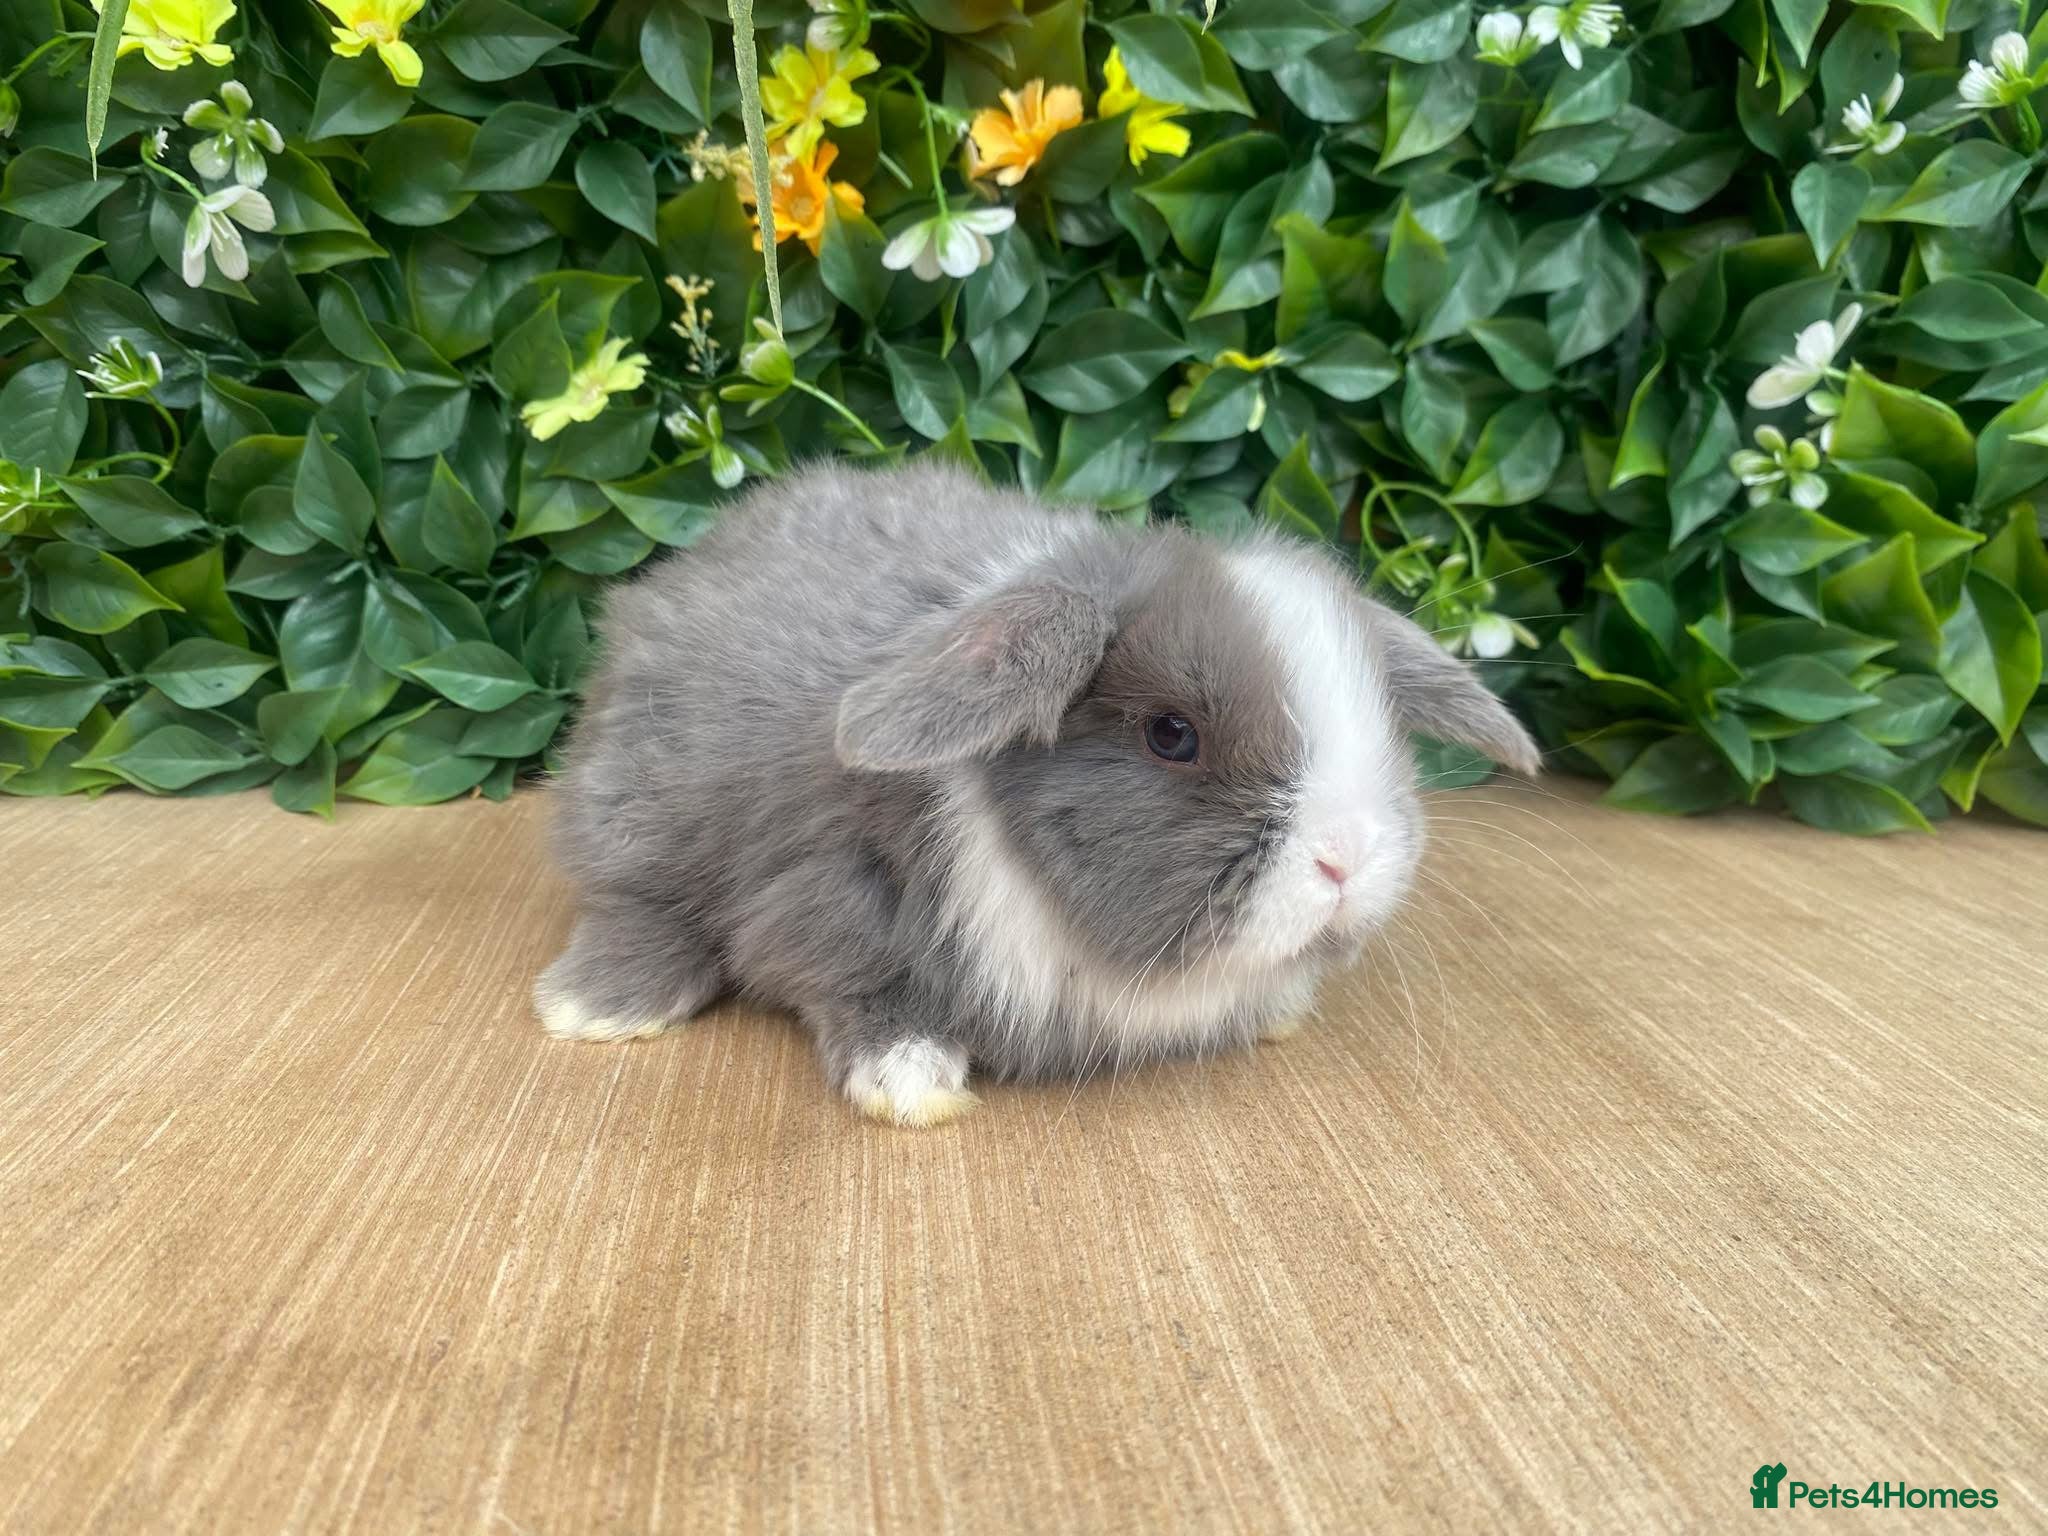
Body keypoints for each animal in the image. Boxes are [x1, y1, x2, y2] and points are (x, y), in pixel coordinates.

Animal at [535, 460, 1539, 1126]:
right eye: (1171, 734)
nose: (1348, 858)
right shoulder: (826, 897)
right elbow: (850, 982)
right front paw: (912, 1082)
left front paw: (1280, 1011)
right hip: (642, 814)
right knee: (638, 910)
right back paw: (596, 1010)